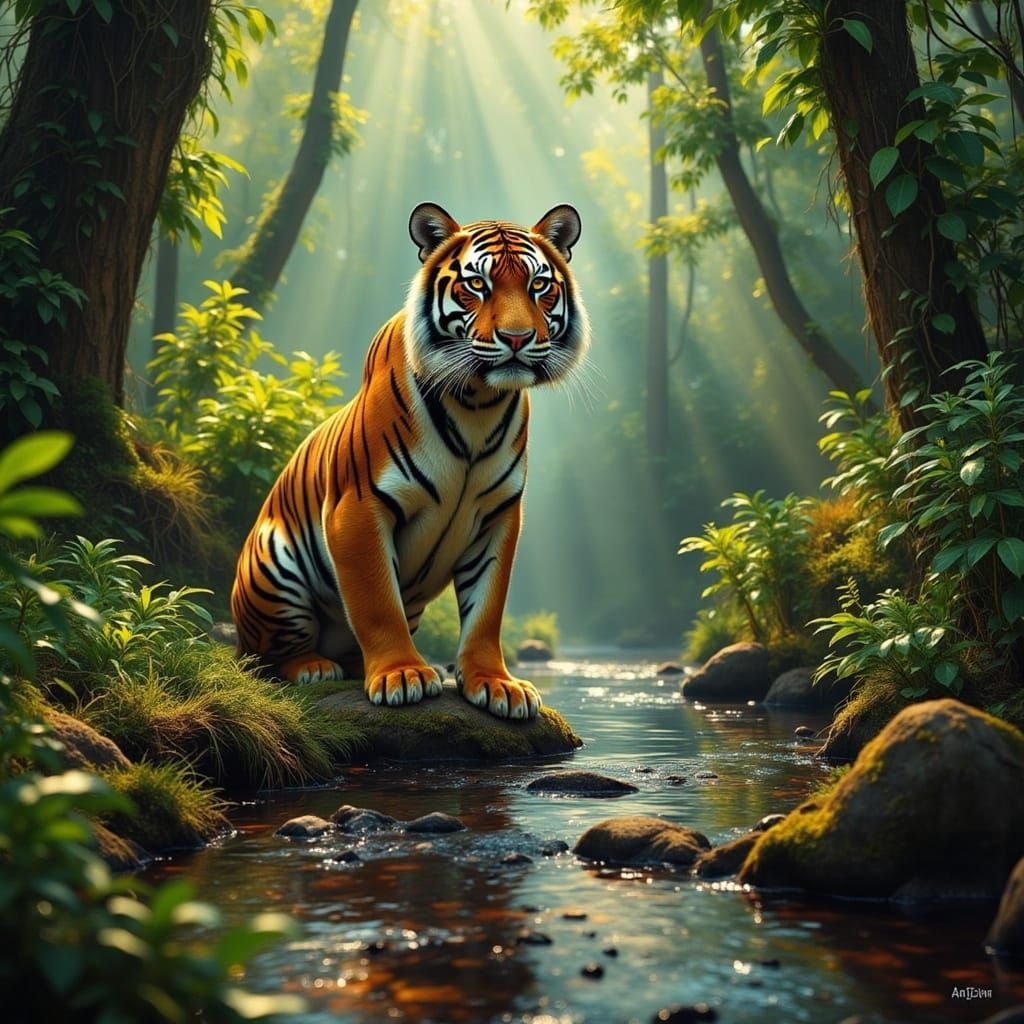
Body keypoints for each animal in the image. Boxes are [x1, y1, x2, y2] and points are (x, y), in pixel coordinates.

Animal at [230, 202, 589, 720]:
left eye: (539, 286)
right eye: (476, 285)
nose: (517, 338)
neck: (478, 403)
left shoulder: (499, 516)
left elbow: (486, 609)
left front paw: (497, 684)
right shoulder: (358, 508)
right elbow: (378, 602)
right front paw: (402, 674)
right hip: (273, 566)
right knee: (266, 656)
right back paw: (314, 667)